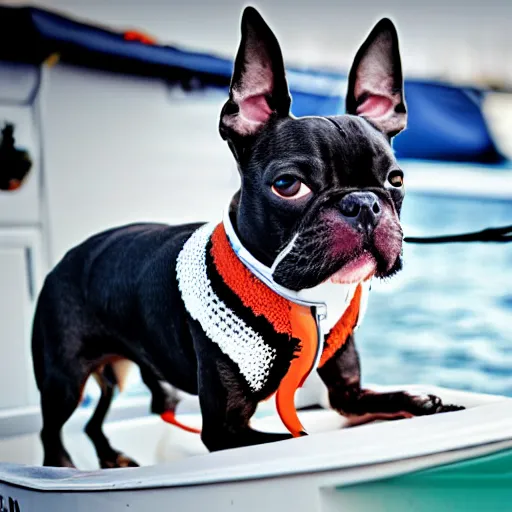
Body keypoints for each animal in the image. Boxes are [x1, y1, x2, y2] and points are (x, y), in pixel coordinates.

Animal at [32, 7, 464, 468]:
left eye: (395, 180)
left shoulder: (347, 394)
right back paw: (62, 467)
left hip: (124, 373)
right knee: (52, 429)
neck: (304, 298)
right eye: (288, 185)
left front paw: (431, 403)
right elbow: (292, 437)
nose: (363, 203)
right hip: (64, 380)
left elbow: (389, 398)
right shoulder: (226, 430)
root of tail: (66, 260)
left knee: (97, 417)